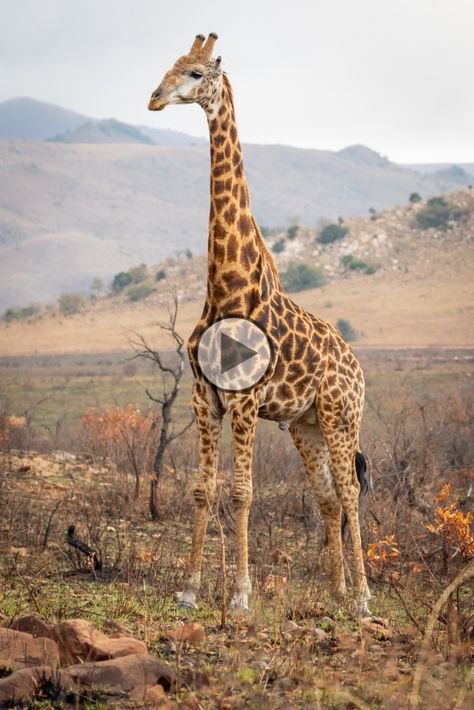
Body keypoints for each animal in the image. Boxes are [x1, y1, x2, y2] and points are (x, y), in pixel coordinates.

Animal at [146, 33, 372, 616]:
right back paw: (338, 590)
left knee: (350, 492)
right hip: (305, 425)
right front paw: (188, 590)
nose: (154, 98)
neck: (225, 283)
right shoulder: (203, 397)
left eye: (197, 72)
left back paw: (364, 598)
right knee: (327, 498)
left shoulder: (245, 400)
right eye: (169, 65)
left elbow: (243, 492)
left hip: (342, 416)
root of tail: (358, 367)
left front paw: (242, 595)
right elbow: (203, 490)